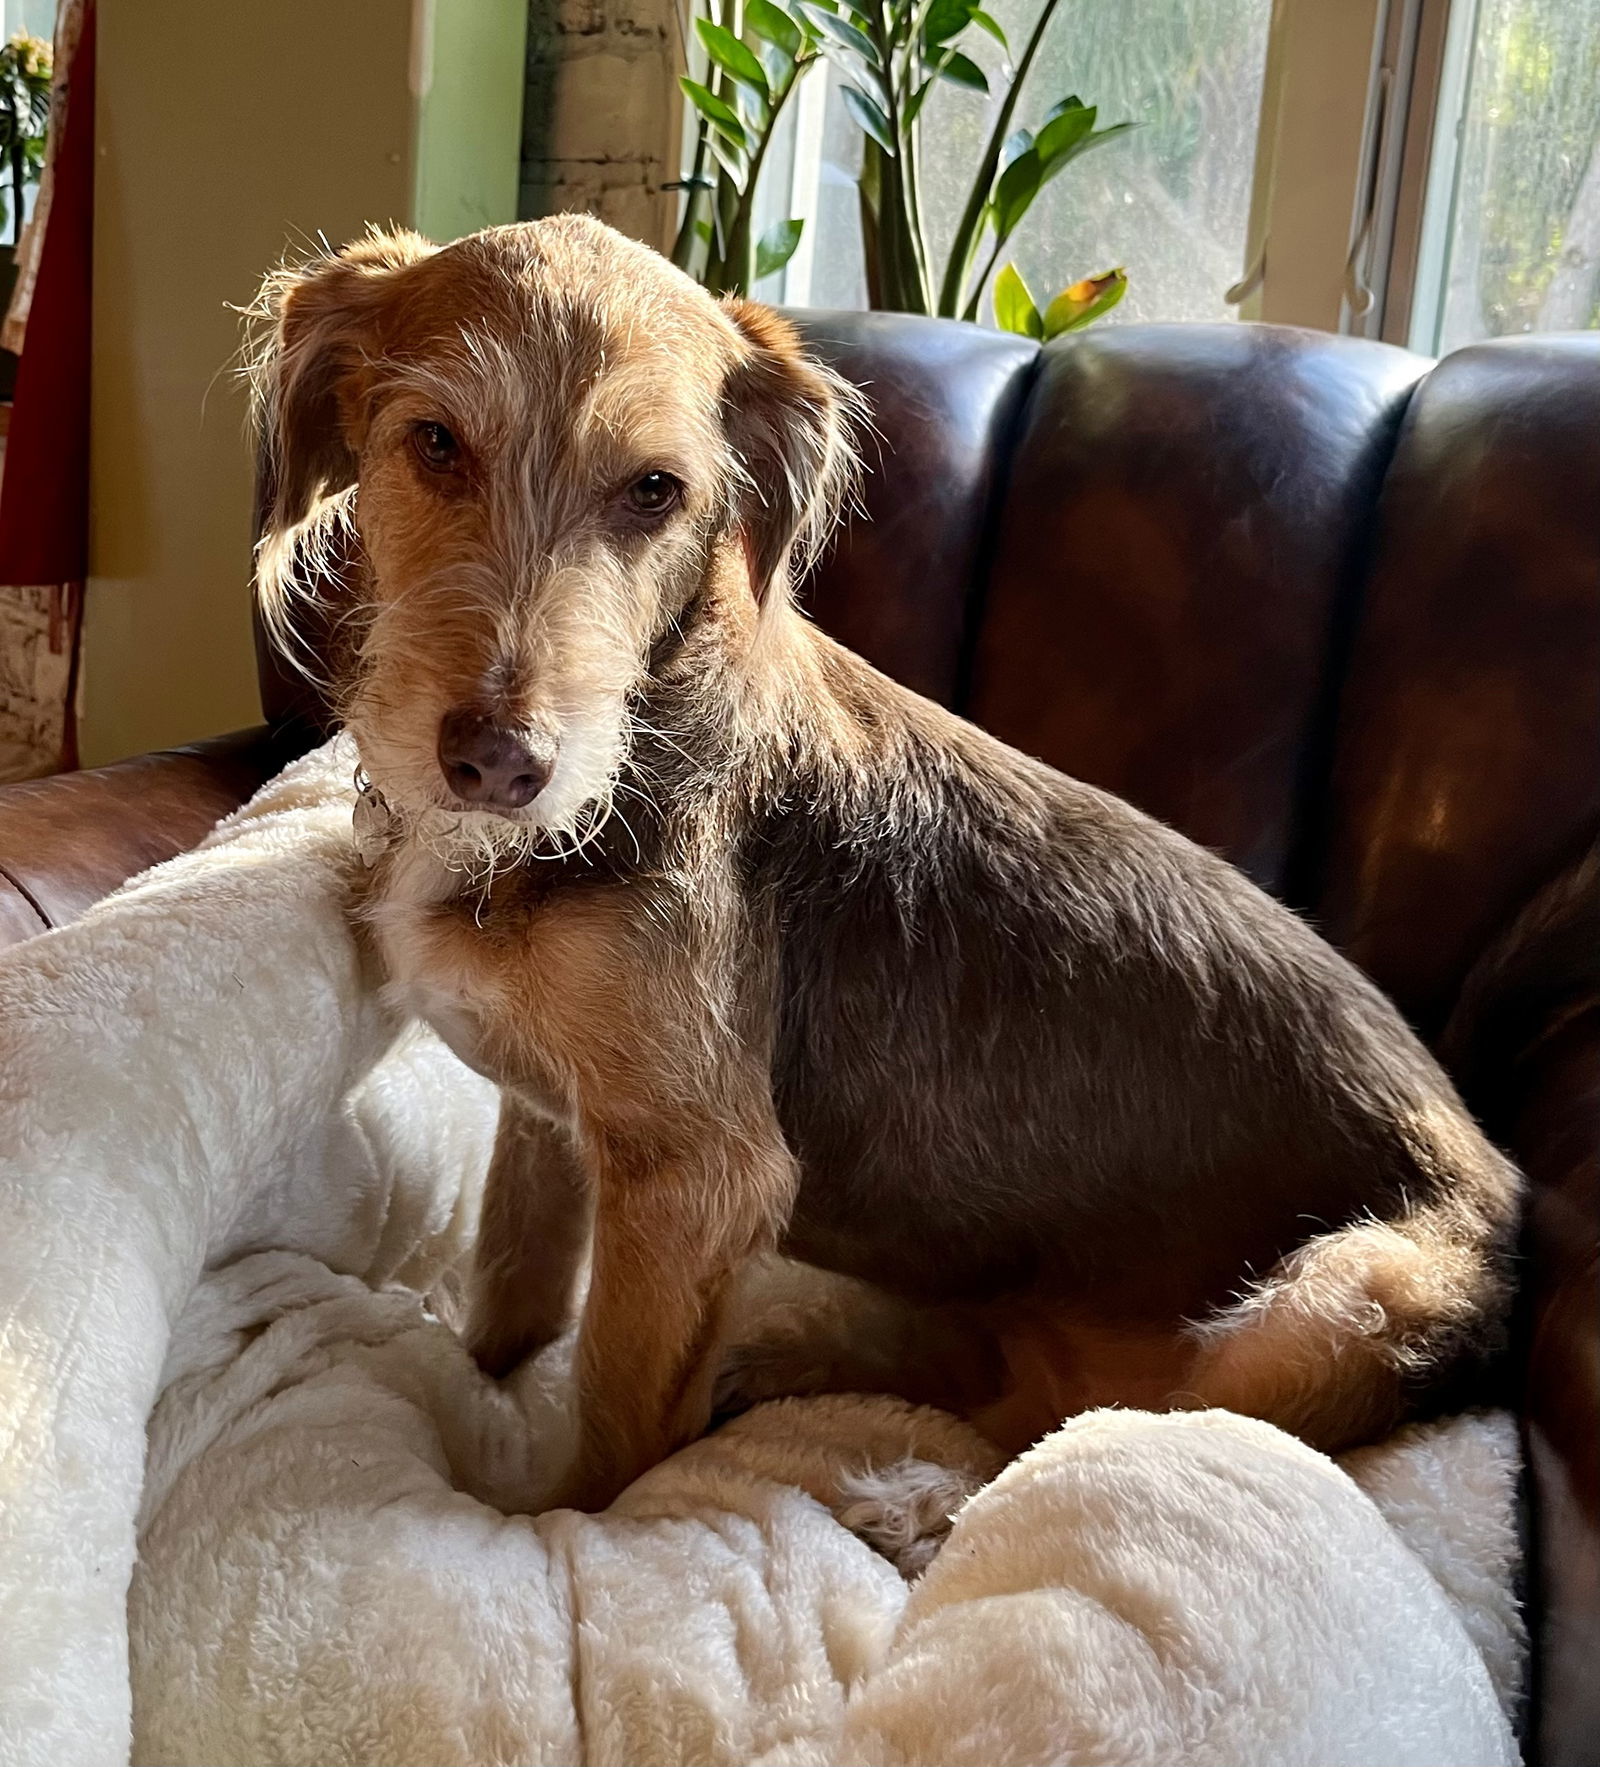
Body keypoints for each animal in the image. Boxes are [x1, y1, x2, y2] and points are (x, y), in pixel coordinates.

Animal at [252, 213, 1520, 1512]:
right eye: (434, 442)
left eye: (655, 490)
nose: (501, 765)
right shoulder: (553, 1123)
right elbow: (511, 1302)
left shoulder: (698, 1179)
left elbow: (610, 1436)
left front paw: (560, 1523)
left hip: (1347, 1300)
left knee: (1117, 1440)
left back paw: (912, 1498)